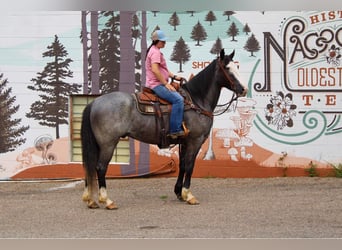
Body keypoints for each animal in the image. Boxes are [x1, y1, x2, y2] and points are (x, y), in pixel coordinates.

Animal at [81, 48, 247, 209]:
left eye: (236, 66)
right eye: (227, 68)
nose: (243, 89)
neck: (196, 101)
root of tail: (94, 102)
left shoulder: (184, 141)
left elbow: (182, 165)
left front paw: (179, 193)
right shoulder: (195, 140)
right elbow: (190, 165)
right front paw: (189, 195)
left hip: (99, 144)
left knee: (90, 166)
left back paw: (90, 200)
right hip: (108, 143)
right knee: (100, 167)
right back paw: (107, 200)